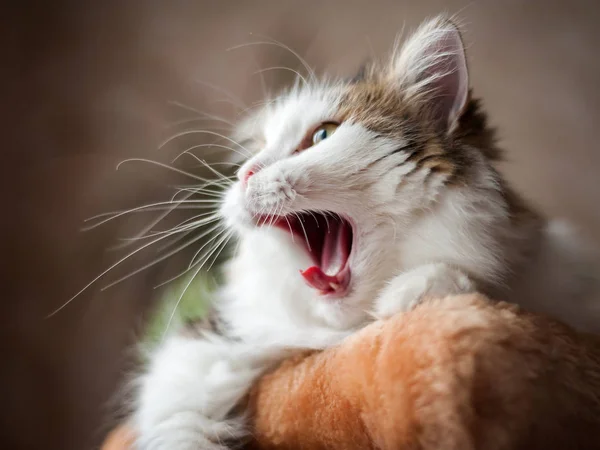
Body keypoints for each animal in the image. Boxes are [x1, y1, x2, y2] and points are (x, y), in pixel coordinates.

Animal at [131, 15, 600, 448]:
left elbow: (466, 279)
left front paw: (413, 292)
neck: (346, 331)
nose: (244, 174)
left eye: (323, 135)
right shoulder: (213, 341)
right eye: (255, 154)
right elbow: (180, 420)